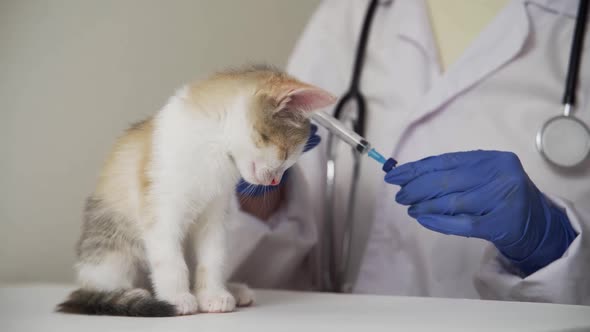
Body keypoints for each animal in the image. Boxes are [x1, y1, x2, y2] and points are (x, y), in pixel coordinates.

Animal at [59, 67, 338, 316]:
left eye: (289, 161)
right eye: (286, 154)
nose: (274, 181)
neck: (214, 145)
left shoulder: (214, 215)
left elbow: (212, 257)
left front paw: (213, 295)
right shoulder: (162, 209)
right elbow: (169, 259)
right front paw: (176, 298)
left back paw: (233, 290)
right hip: (111, 249)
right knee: (99, 284)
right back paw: (130, 293)